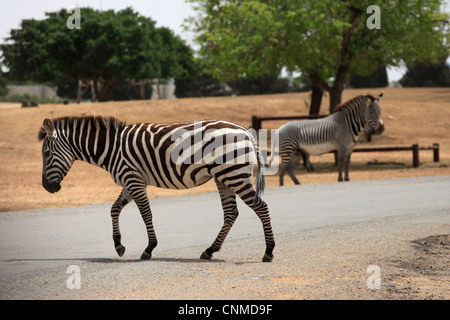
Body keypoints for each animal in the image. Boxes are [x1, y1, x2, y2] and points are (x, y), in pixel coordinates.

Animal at [38, 116, 276, 262]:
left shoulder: (133, 179)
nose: (48, 188)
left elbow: (146, 214)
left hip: (233, 175)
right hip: (223, 177)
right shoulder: (130, 180)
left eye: (46, 154)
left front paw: (149, 248)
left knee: (261, 207)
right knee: (231, 213)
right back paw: (209, 250)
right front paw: (119, 245)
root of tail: (246, 131)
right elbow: (114, 209)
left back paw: (268, 252)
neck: (111, 148)